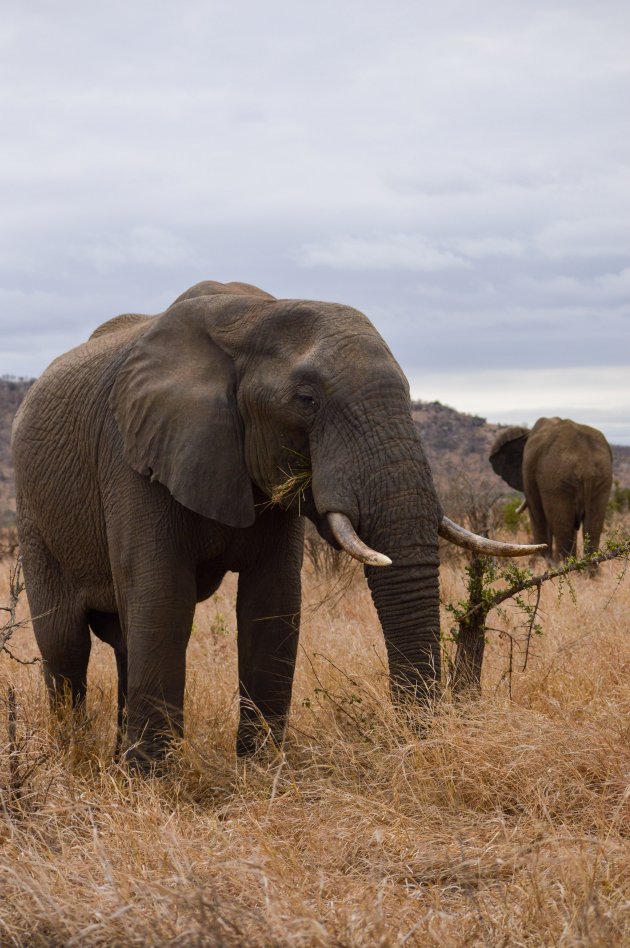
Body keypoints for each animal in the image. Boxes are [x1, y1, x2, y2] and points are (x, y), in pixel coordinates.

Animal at [11, 278, 544, 768]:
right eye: (306, 399)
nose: (418, 746)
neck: (248, 318)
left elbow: (274, 602)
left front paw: (262, 770)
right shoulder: (132, 456)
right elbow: (163, 600)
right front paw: (153, 784)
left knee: (123, 639)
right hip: (34, 516)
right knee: (65, 643)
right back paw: (74, 761)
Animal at [492, 416, 616, 564]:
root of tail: (586, 466)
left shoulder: (528, 472)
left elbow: (537, 515)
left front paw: (539, 563)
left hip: (556, 479)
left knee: (563, 526)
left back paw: (563, 566)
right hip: (602, 478)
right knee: (592, 525)